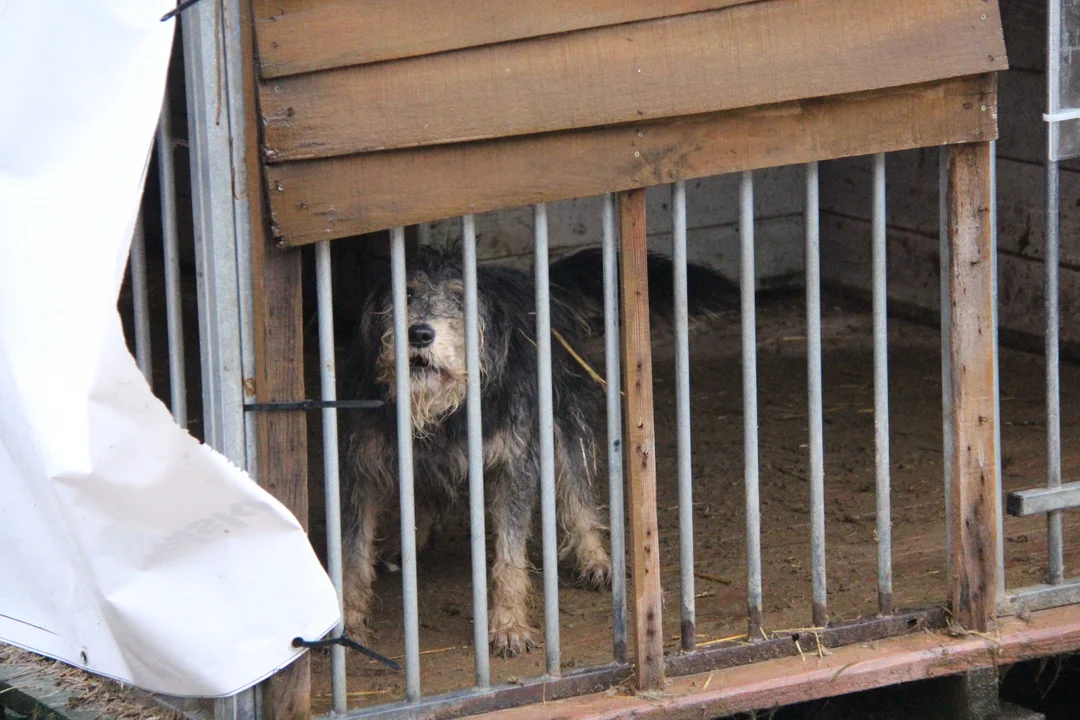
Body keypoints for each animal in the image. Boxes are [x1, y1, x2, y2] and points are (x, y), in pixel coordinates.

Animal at [341, 248, 738, 660]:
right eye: (406, 293)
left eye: (459, 297)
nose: (419, 333)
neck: (444, 409)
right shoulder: (360, 469)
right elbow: (353, 555)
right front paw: (349, 624)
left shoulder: (515, 464)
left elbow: (510, 557)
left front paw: (509, 626)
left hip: (564, 422)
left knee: (579, 498)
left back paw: (596, 558)